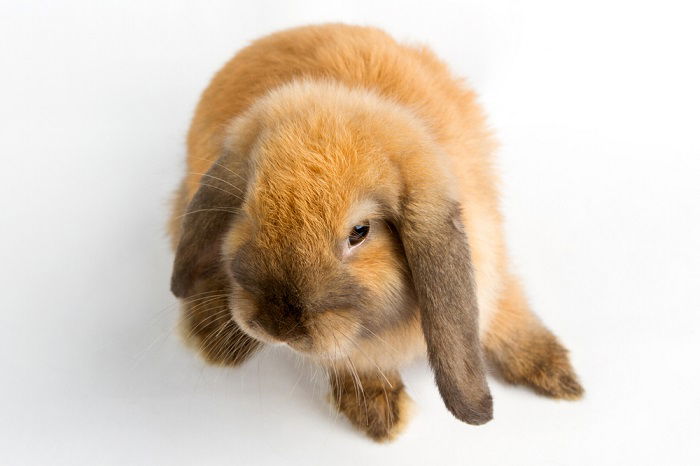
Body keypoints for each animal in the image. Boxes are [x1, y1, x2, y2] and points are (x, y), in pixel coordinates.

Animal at [170, 24, 584, 440]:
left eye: (360, 231)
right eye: (247, 211)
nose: (276, 326)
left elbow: (508, 314)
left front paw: (557, 374)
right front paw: (380, 414)